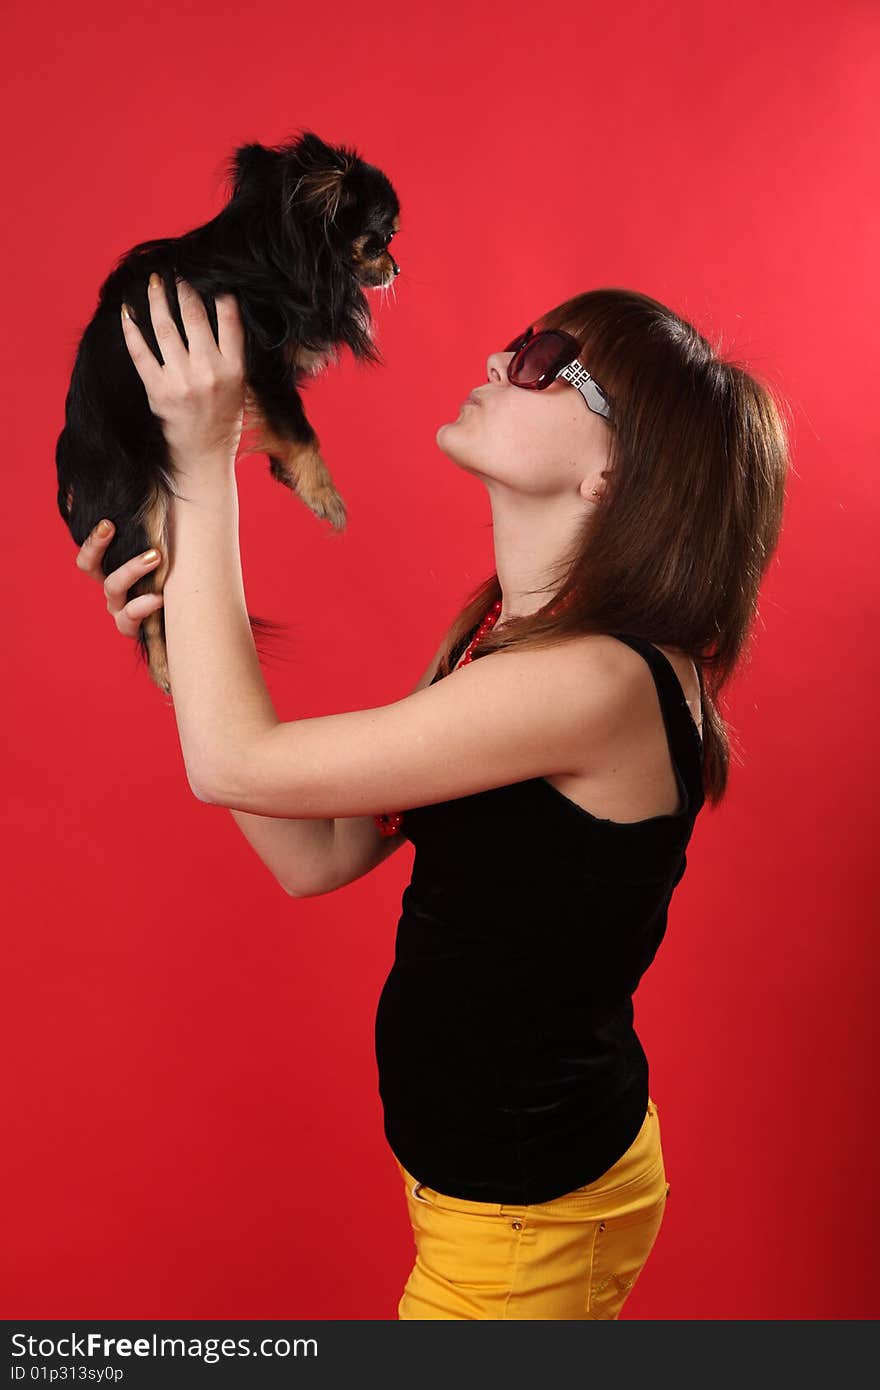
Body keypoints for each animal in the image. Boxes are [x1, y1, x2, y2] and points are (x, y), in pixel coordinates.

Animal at [60, 130, 403, 695]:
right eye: (382, 240)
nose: (398, 268)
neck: (271, 251)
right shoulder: (262, 359)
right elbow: (300, 429)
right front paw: (323, 494)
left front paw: (292, 479)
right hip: (135, 511)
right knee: (148, 604)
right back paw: (166, 670)